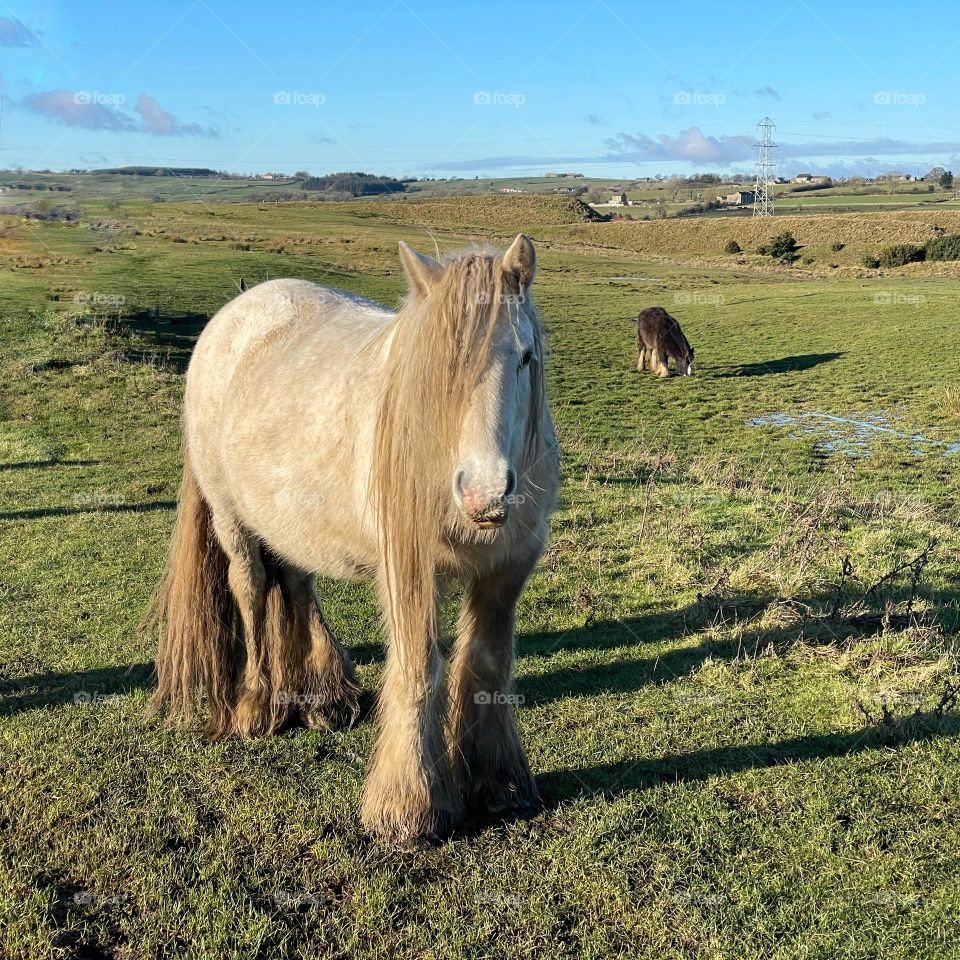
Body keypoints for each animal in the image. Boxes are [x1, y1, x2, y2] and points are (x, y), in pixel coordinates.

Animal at [147, 234, 559, 848]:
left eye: (525, 357)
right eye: (434, 369)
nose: (483, 493)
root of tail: (235, 312)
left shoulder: (506, 569)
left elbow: (486, 664)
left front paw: (498, 783)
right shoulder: (406, 568)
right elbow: (418, 667)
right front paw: (408, 807)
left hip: (292, 519)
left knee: (296, 584)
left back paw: (321, 697)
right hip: (232, 520)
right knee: (251, 590)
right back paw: (256, 704)